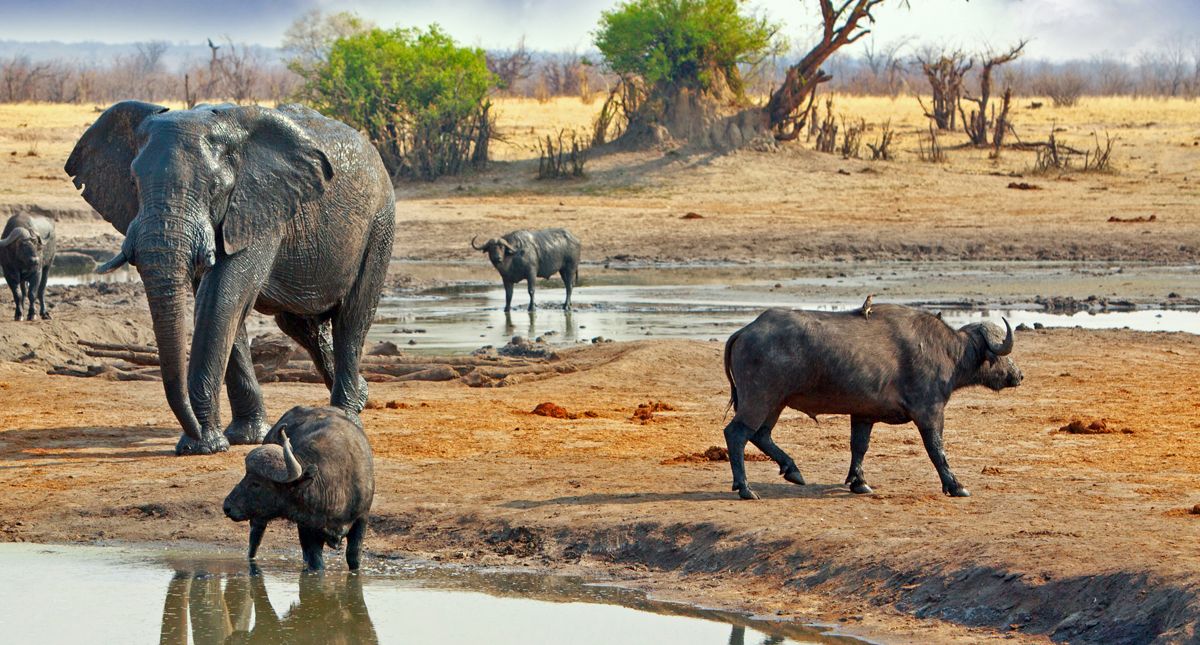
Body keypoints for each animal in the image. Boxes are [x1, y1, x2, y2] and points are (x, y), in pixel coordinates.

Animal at [65, 101, 396, 450]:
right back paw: (360, 395)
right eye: (133, 183)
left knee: (351, 319)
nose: (194, 432)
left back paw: (347, 416)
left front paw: (202, 447)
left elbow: (221, 297)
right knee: (300, 325)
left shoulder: (259, 206)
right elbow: (222, 306)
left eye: (214, 188)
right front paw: (239, 438)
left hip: (379, 224)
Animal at [223, 405, 372, 570]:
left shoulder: (362, 518)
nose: (227, 507)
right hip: (259, 516)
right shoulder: (307, 527)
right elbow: (317, 563)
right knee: (255, 539)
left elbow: (354, 555)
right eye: (246, 475)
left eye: (256, 483)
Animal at [720, 303, 1022, 498]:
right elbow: (937, 450)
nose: (1018, 374)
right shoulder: (930, 412)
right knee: (736, 433)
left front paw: (859, 482)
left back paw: (793, 470)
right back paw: (745, 488)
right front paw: (955, 485)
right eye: (1004, 355)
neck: (946, 350)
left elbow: (859, 447)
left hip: (776, 402)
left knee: (761, 435)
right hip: (759, 399)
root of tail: (746, 331)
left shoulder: (863, 414)